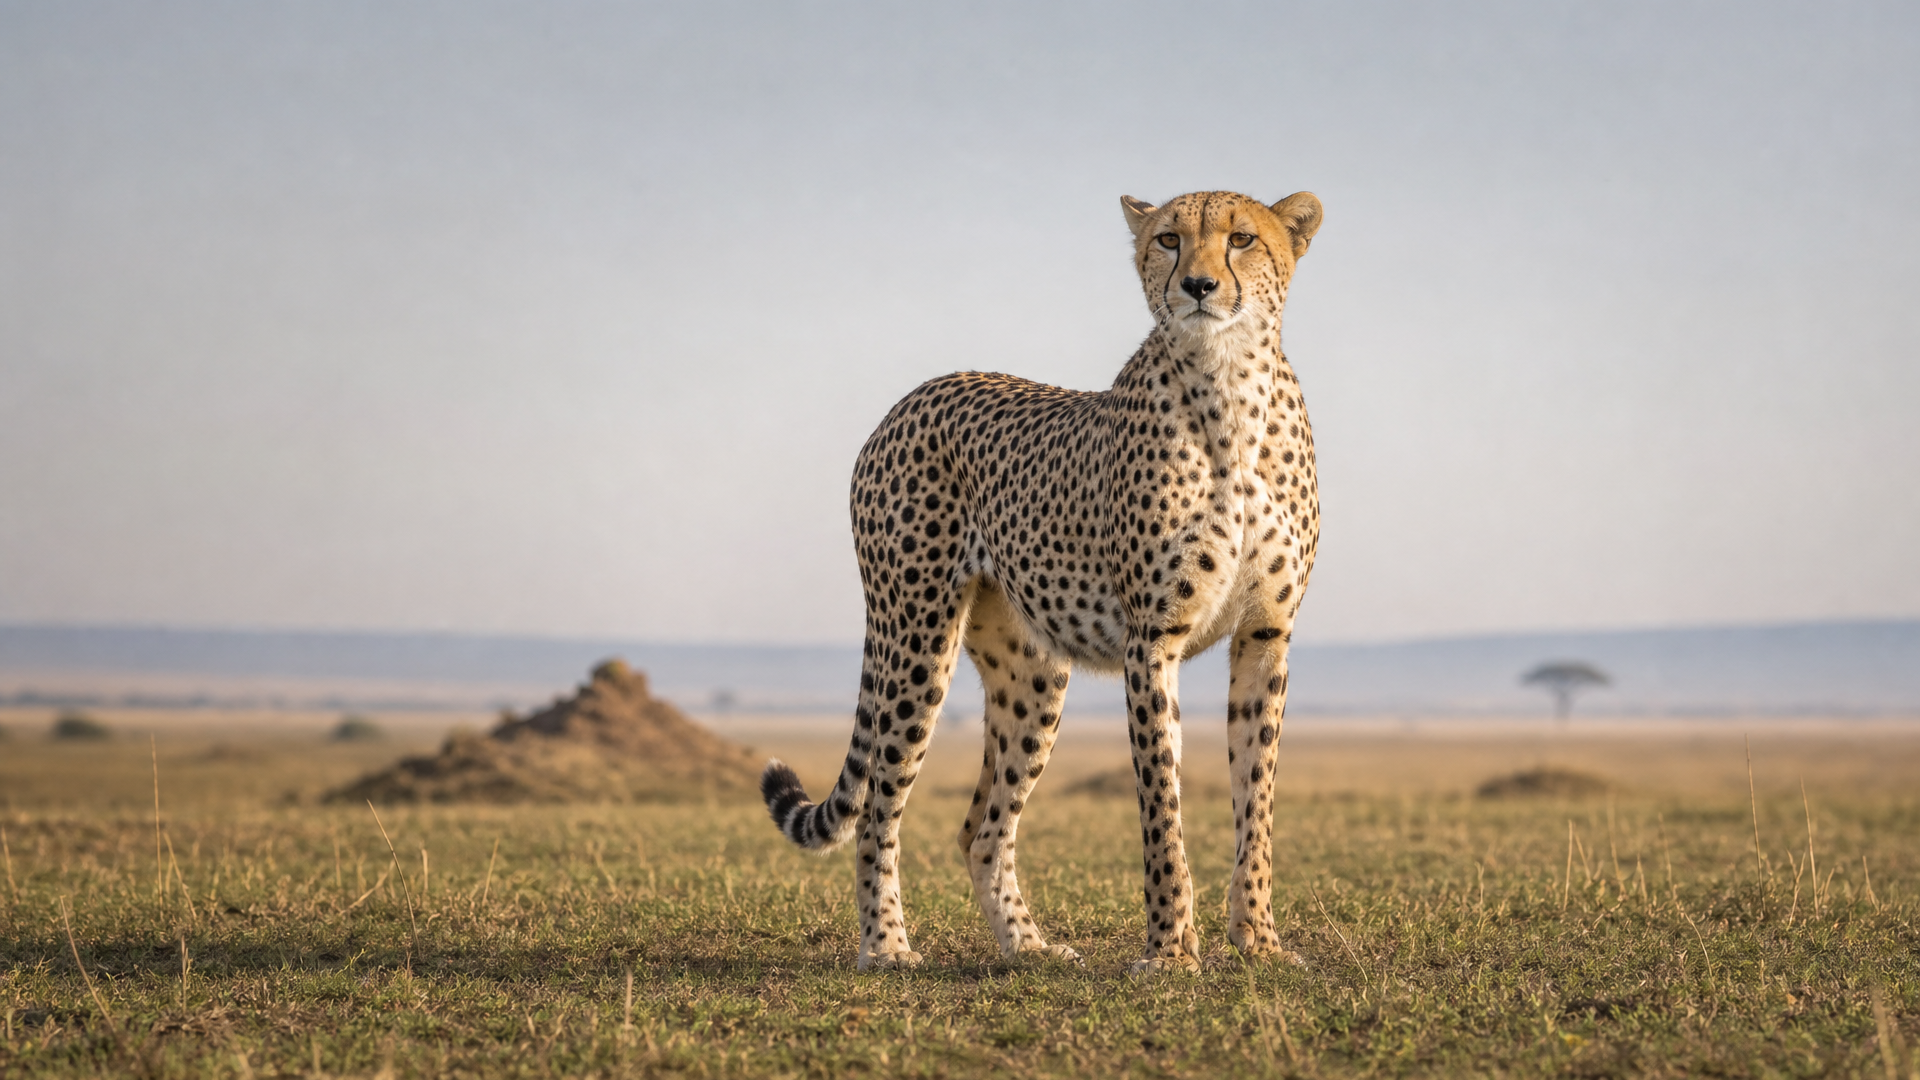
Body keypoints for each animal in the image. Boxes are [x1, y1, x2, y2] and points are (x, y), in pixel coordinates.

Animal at [761, 188, 1325, 973]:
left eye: (1242, 239)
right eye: (1169, 240)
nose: (1198, 286)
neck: (1230, 384)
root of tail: (916, 394)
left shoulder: (1266, 632)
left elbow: (1257, 799)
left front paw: (1260, 942)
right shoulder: (1152, 639)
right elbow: (1162, 803)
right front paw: (1170, 953)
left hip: (1033, 673)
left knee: (981, 828)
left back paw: (1028, 948)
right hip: (916, 635)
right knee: (879, 806)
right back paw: (888, 947)